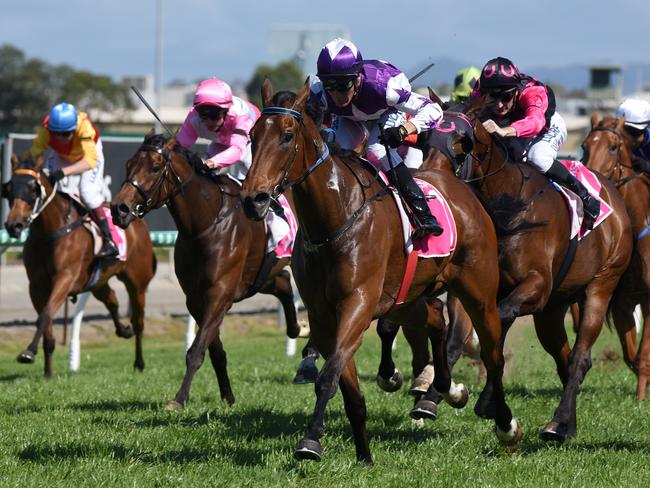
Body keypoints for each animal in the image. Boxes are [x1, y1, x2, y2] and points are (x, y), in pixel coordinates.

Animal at [2, 152, 155, 378]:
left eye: (33, 189)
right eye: (9, 188)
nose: (14, 225)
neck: (50, 232)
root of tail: (136, 218)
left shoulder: (65, 278)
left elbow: (45, 315)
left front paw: (28, 352)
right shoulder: (36, 286)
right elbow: (46, 322)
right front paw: (47, 374)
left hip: (137, 282)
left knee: (139, 321)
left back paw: (139, 362)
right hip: (98, 280)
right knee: (112, 299)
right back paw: (123, 330)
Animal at [112, 132, 302, 410]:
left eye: (155, 167)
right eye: (128, 165)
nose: (119, 209)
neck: (205, 224)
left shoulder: (220, 294)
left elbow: (196, 351)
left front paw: (179, 399)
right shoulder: (196, 299)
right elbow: (215, 351)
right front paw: (228, 396)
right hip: (257, 277)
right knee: (284, 283)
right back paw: (295, 328)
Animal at [238, 78, 516, 464]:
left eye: (287, 135)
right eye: (252, 135)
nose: (254, 199)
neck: (335, 219)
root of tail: (454, 182)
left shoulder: (358, 302)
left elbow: (328, 377)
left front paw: (310, 441)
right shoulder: (324, 316)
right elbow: (346, 386)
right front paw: (364, 455)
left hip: (479, 292)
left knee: (492, 353)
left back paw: (504, 424)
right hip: (406, 299)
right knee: (435, 317)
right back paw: (443, 387)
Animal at [440, 107, 632, 442]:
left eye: (459, 146)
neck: (507, 209)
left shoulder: (537, 284)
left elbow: (500, 321)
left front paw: (488, 402)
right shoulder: (475, 286)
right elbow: (459, 338)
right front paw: (435, 396)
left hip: (600, 286)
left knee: (580, 356)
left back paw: (557, 423)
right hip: (552, 311)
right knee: (565, 357)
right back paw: (568, 425)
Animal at [576, 115, 648, 400]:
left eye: (613, 147)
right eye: (585, 145)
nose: (590, 177)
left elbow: (643, 354)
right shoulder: (623, 302)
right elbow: (632, 356)